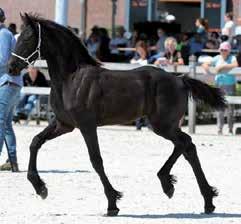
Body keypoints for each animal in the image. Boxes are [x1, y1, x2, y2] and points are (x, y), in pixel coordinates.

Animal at [8, 13, 226, 215]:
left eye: (28, 38)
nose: (11, 67)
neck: (71, 79)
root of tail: (180, 79)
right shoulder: (64, 124)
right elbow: (36, 142)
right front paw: (40, 188)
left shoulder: (87, 125)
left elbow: (96, 160)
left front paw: (112, 202)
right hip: (164, 125)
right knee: (187, 147)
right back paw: (203, 199)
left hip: (162, 125)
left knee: (185, 143)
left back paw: (172, 185)